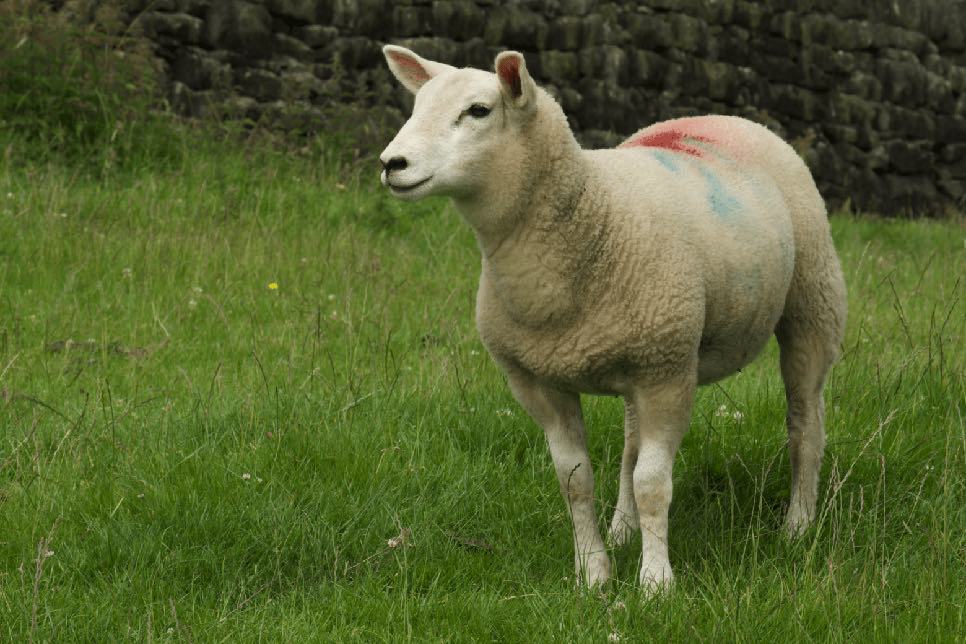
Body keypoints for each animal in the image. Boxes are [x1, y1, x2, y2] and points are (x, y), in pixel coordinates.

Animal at [378, 45, 847, 591]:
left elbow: (653, 483)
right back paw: (624, 530)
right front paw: (594, 573)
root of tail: (721, 117)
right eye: (417, 105)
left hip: (812, 299)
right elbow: (576, 480)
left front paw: (656, 582)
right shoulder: (537, 381)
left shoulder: (669, 370)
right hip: (634, 356)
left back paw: (798, 524)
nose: (391, 164)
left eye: (478, 110)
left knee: (805, 418)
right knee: (630, 443)